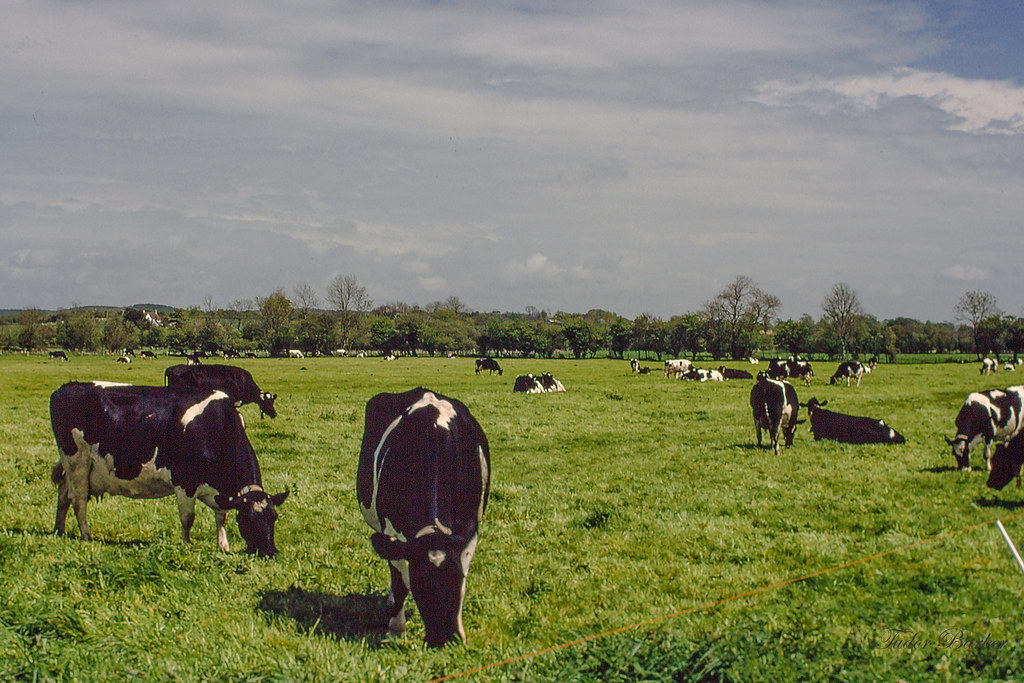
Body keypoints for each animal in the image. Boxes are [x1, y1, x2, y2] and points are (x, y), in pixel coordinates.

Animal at [49, 382, 287, 556]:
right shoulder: (185, 482)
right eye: (247, 519)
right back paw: (86, 535)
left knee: (64, 494)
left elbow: (222, 517)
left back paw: (59, 530)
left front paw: (223, 546)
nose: (270, 552)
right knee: (79, 500)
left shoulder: (221, 490)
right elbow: (188, 517)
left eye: (274, 517)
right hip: (77, 461)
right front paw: (186, 543)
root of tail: (66, 387)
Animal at [356, 388, 490, 648]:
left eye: (457, 580)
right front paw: (396, 630)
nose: (445, 640)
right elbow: (400, 582)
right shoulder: (392, 532)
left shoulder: (468, 532)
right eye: (421, 585)